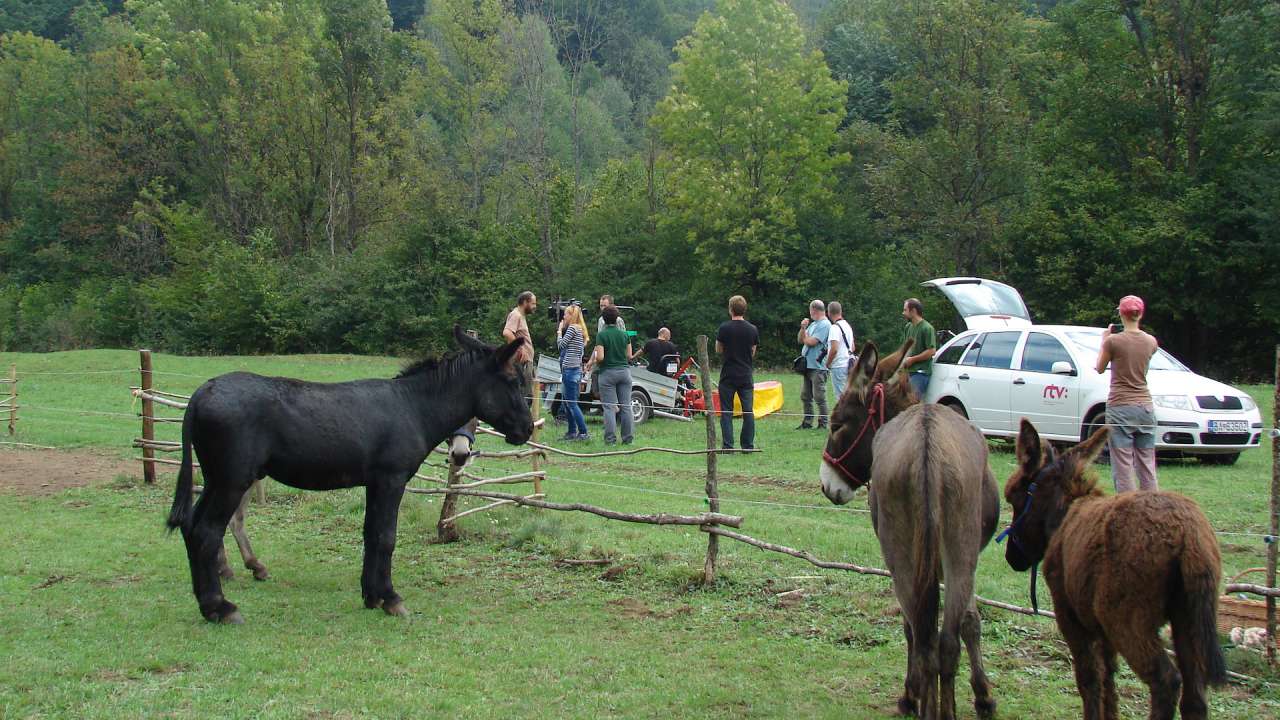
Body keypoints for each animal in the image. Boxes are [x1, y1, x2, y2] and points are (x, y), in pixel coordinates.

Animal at [1003, 417, 1223, 712]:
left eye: (1014, 499)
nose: (1012, 558)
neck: (1061, 518)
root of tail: (1188, 535)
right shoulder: (1102, 630)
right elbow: (1109, 681)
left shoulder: (1070, 617)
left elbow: (1089, 680)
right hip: (1187, 617)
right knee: (1195, 695)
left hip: (1128, 619)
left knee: (1166, 680)